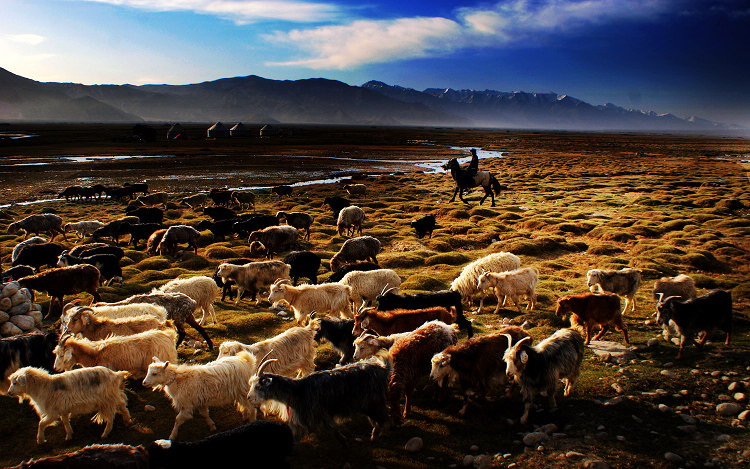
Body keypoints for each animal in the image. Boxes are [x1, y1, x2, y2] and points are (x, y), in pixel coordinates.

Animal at [250, 348, 396, 442]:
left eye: (259, 386)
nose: (249, 398)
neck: (296, 391)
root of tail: (383, 369)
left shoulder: (317, 415)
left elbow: (332, 428)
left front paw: (343, 439)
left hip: (373, 402)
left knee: (384, 417)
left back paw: (375, 436)